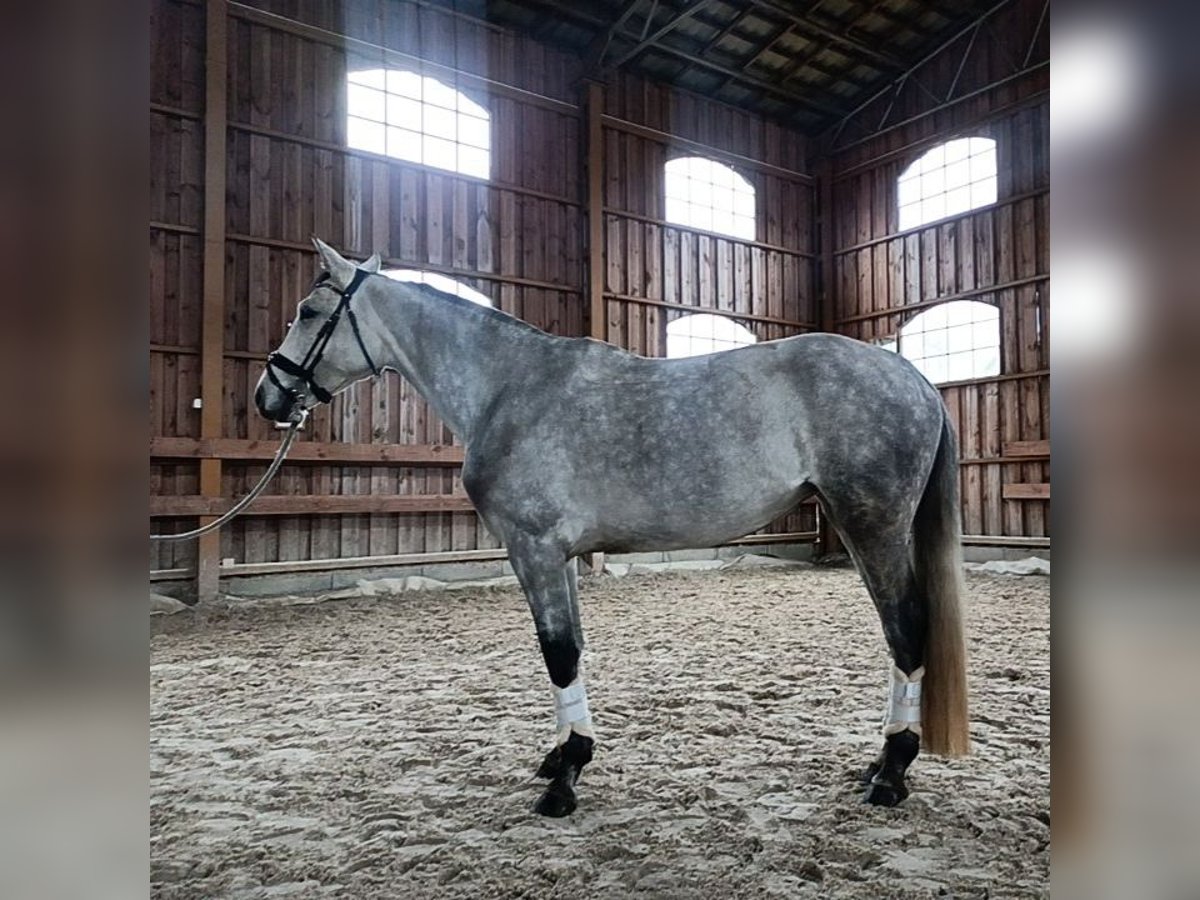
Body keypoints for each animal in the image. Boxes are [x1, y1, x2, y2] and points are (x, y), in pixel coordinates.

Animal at [253, 240, 964, 816]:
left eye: (309, 313)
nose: (268, 396)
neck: (507, 388)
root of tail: (914, 377)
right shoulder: (560, 555)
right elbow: (571, 649)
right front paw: (564, 754)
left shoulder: (533, 548)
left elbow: (559, 653)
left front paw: (564, 780)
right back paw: (879, 763)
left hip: (871, 525)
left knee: (906, 629)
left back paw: (891, 771)